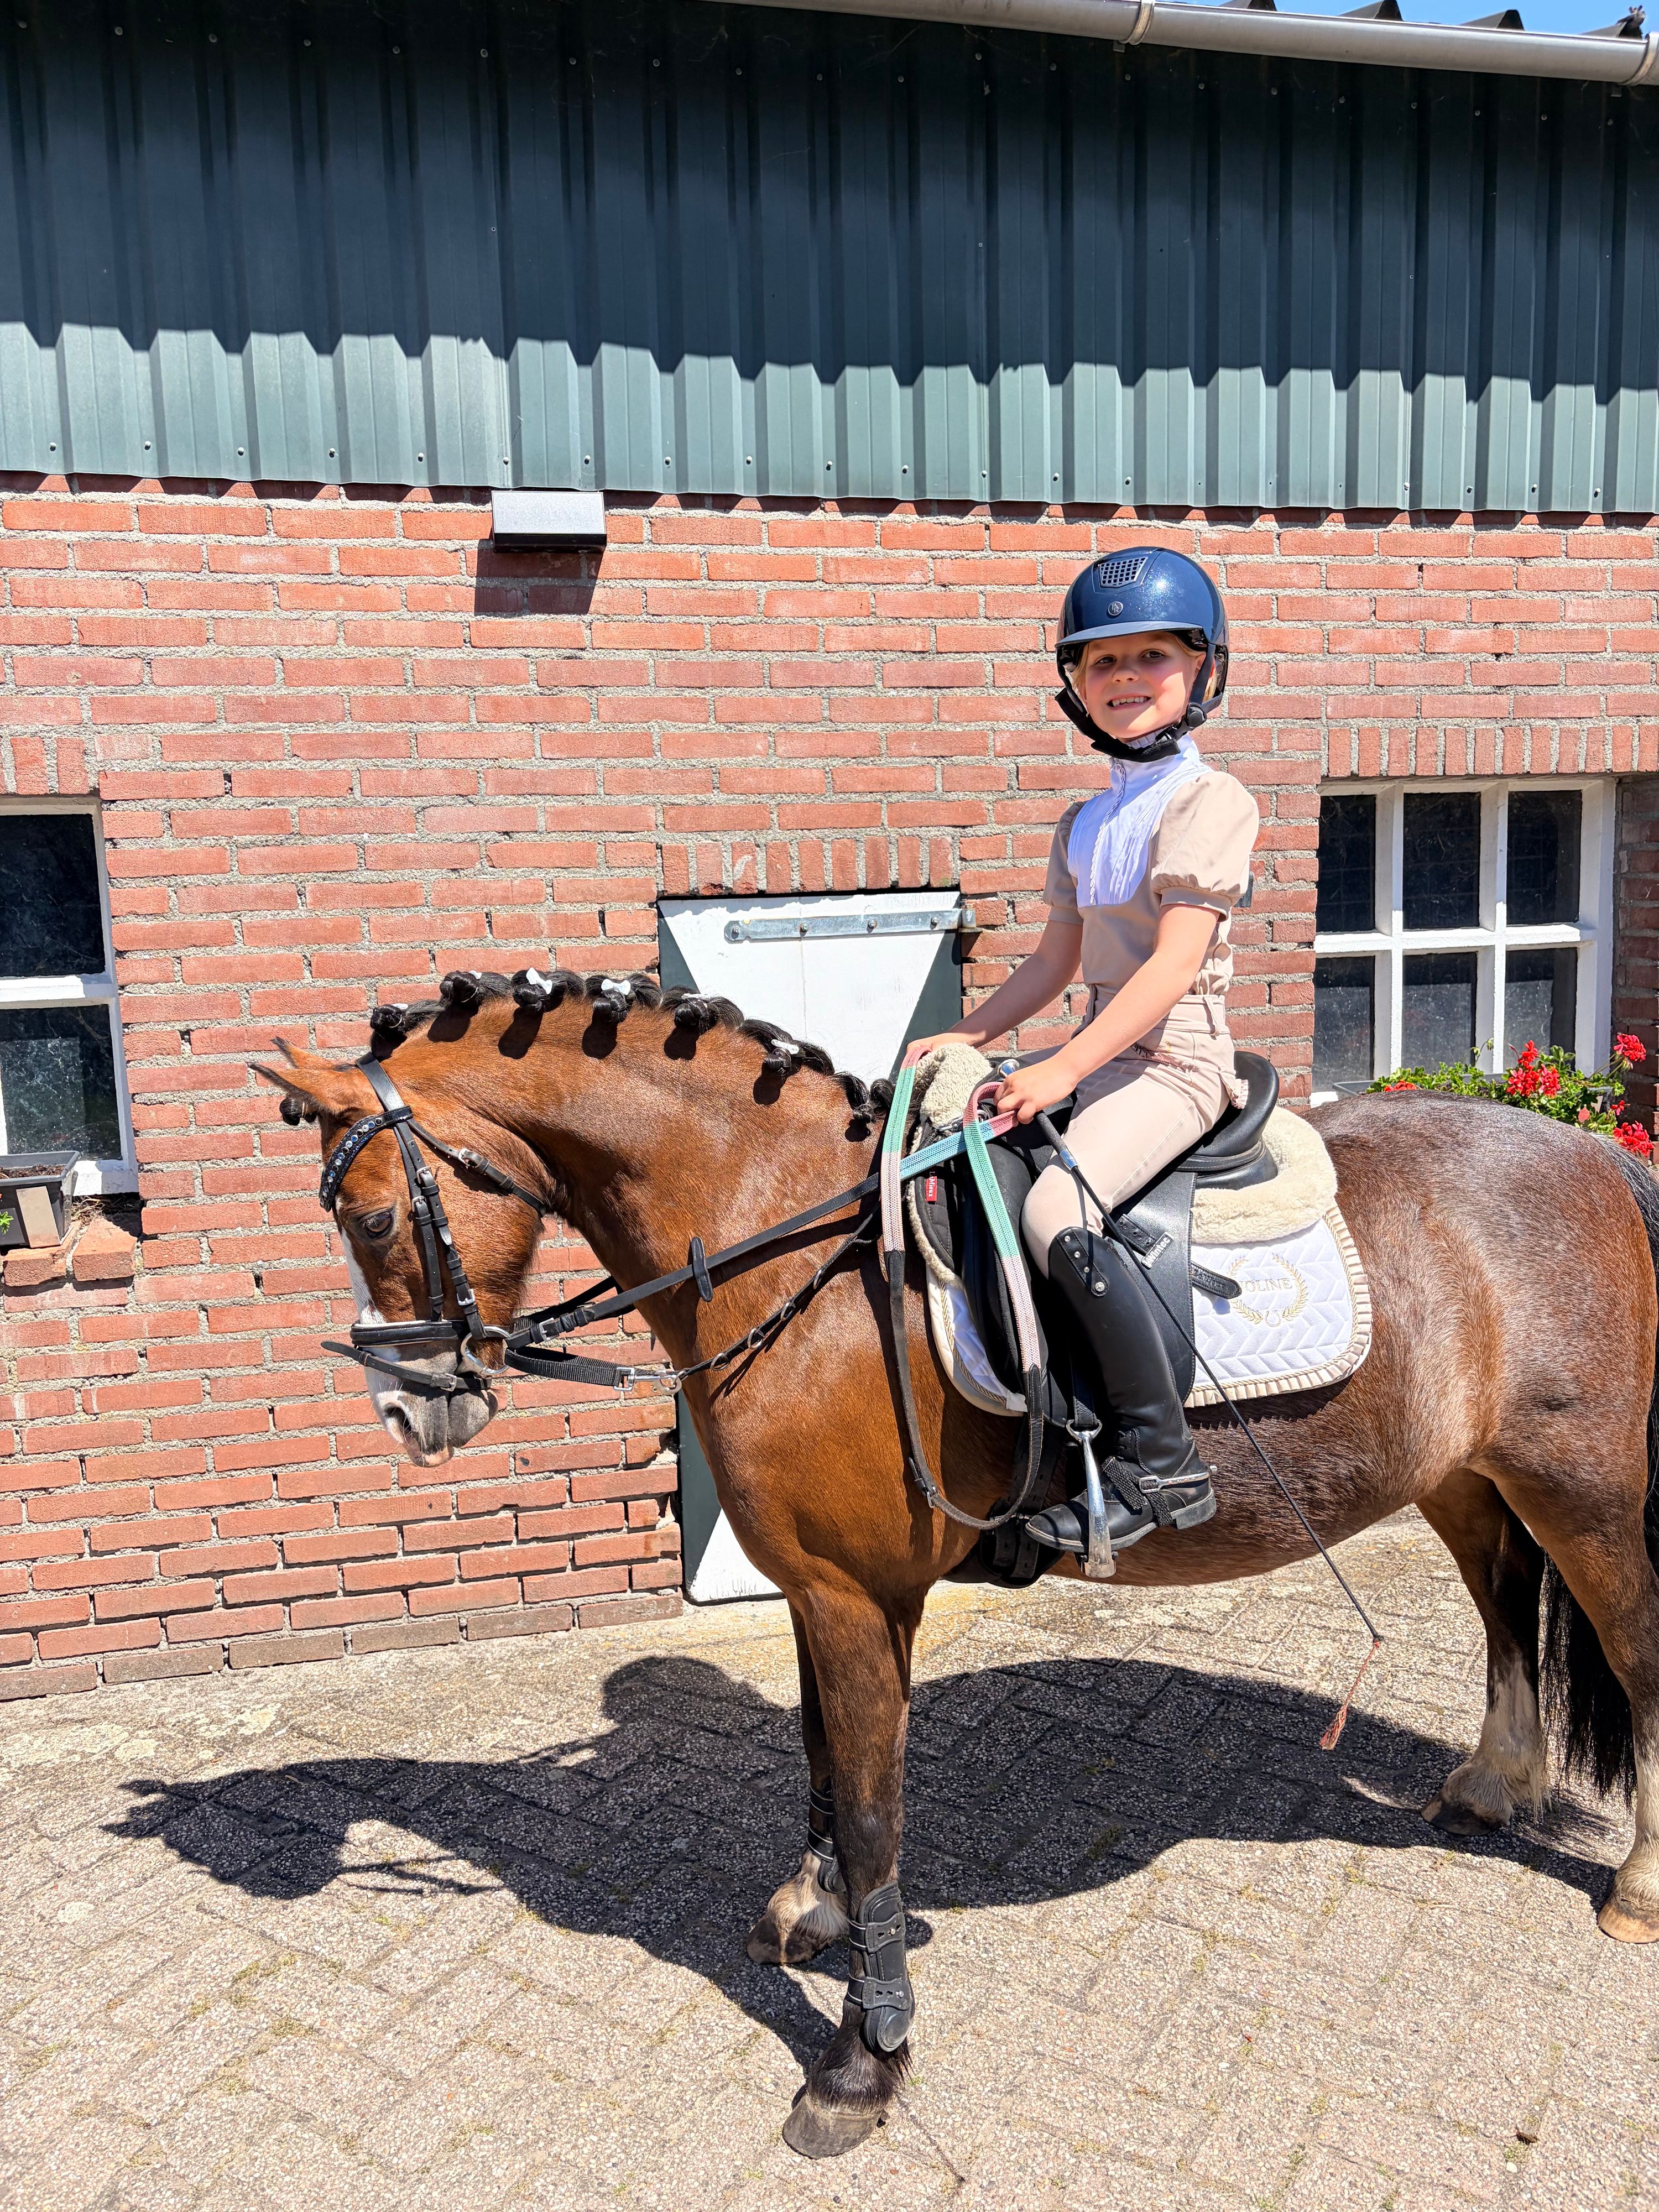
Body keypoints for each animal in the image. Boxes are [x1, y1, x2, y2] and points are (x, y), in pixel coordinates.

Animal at [258, 968, 1659, 2161]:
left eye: (372, 1214)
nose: (411, 1412)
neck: (782, 1233)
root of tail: (1599, 1150)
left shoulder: (856, 1593)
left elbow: (876, 1808)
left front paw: (861, 2062)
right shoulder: (819, 1588)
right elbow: (823, 1760)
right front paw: (815, 1912)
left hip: (1587, 1486)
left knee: (1636, 1660)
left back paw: (1635, 1887)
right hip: (1464, 1473)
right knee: (1502, 1604)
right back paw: (1491, 1783)